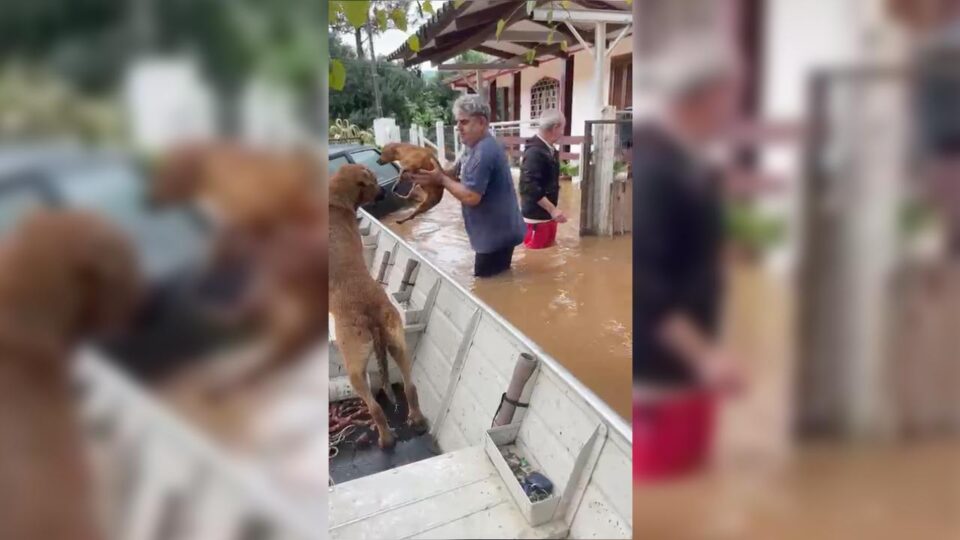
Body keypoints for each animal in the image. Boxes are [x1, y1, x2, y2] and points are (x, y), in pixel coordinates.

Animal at [328, 163, 426, 448]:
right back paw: (416, 421)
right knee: (409, 387)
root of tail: (370, 313)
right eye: (372, 180)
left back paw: (386, 440)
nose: (386, 191)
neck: (335, 201)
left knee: (374, 407)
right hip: (397, 343)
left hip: (354, 365)